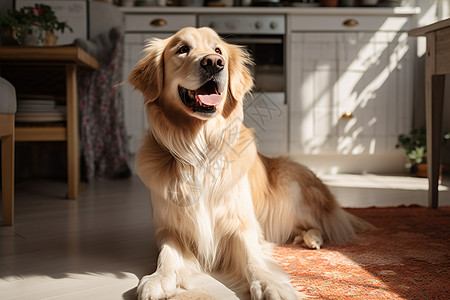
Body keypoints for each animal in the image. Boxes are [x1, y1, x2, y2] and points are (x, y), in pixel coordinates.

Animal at [127, 27, 372, 298]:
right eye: (182, 49)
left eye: (218, 50)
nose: (214, 63)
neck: (200, 151)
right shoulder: (169, 229)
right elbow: (167, 255)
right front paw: (159, 279)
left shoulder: (242, 225)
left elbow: (253, 258)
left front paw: (271, 284)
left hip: (292, 187)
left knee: (318, 223)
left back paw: (313, 239)